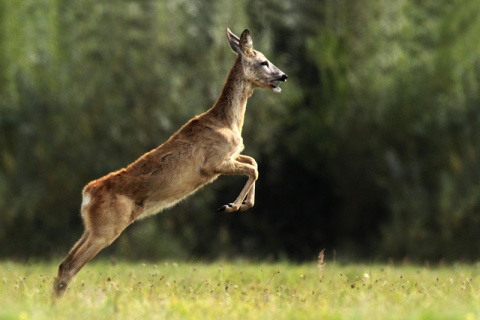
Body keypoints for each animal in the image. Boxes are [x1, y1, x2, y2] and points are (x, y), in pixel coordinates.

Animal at [55, 27, 288, 298]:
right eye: (264, 61)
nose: (283, 76)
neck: (228, 122)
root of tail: (87, 194)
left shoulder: (231, 155)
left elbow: (253, 161)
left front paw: (237, 205)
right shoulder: (212, 163)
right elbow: (253, 169)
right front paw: (231, 206)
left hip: (92, 227)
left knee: (64, 264)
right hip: (107, 228)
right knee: (70, 266)